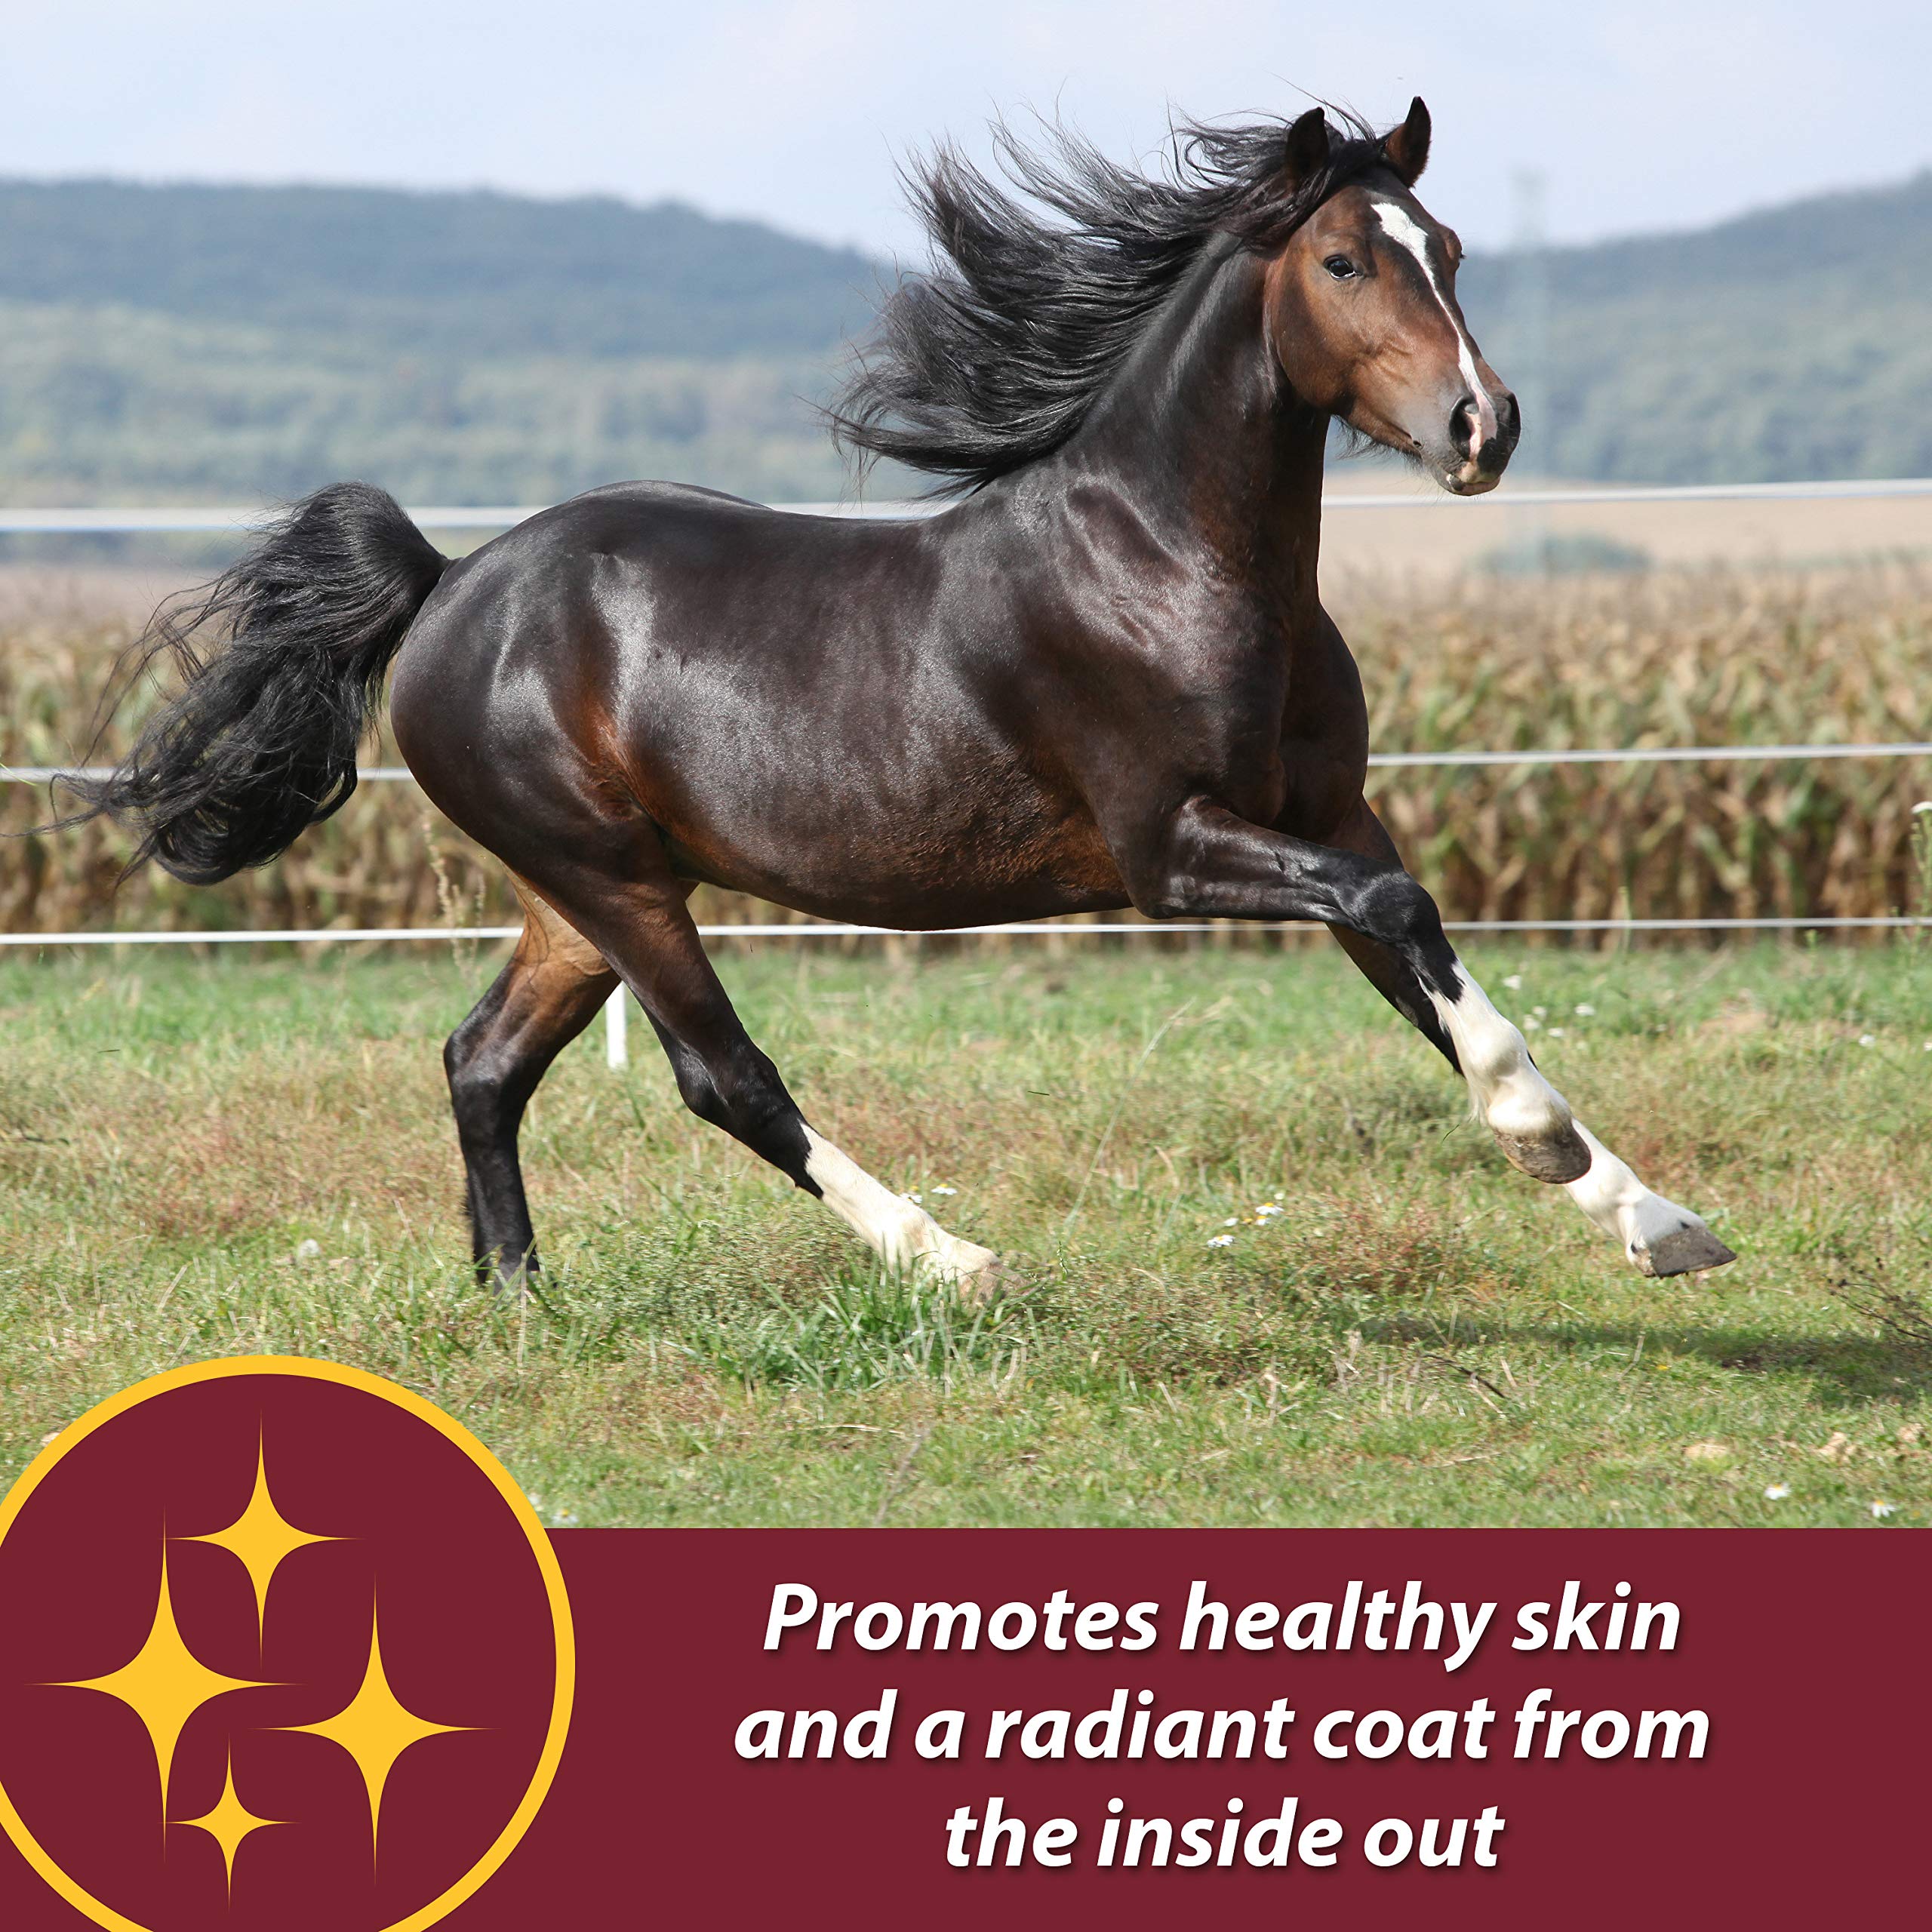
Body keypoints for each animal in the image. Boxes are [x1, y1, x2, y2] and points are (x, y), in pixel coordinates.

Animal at [67, 99, 1736, 1295]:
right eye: (1343, 260)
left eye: (1447, 245)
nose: (1481, 425)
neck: (1167, 562)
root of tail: (445, 584)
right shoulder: (1169, 847)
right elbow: (1402, 923)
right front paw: (1546, 1150)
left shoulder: (1326, 816)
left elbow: (1425, 963)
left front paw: (1650, 1217)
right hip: (612, 881)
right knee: (721, 1077)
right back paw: (951, 1259)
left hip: (581, 891)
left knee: (482, 1061)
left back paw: (519, 1296)